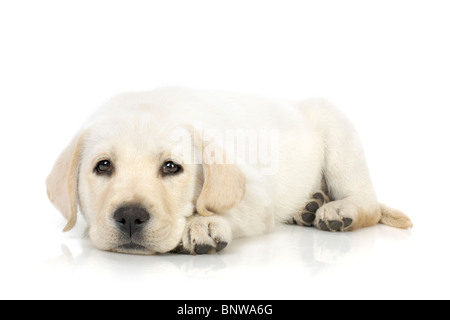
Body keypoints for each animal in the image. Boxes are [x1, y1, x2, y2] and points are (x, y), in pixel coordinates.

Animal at [46, 87, 412, 255]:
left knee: (368, 203)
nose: (130, 216)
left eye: (171, 167)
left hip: (338, 134)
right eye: (103, 166)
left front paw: (202, 224)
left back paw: (337, 209)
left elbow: (221, 207)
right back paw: (309, 207)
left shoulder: (258, 196)